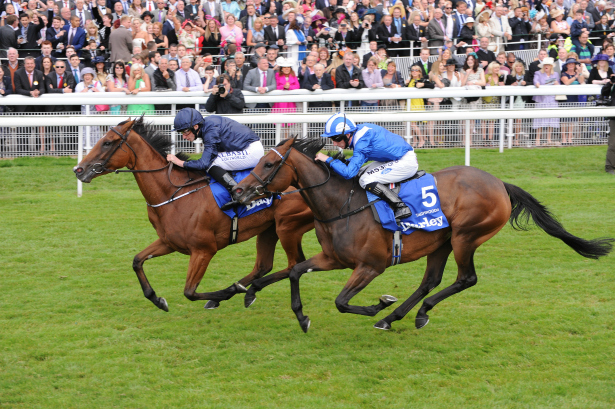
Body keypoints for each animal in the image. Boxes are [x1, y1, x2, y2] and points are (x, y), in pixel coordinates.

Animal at [73, 119, 316, 310]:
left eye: (107, 142)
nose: (78, 170)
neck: (173, 194)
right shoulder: (168, 242)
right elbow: (137, 261)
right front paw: (157, 299)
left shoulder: (203, 250)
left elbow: (189, 291)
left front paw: (222, 294)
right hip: (268, 228)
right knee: (264, 266)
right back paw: (243, 290)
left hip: (287, 226)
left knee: (294, 264)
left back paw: (238, 290)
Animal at [232, 137, 615, 332]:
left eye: (269, 164)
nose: (239, 191)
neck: (341, 205)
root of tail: (499, 184)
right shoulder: (333, 258)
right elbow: (296, 271)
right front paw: (301, 316)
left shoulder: (371, 266)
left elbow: (341, 302)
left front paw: (378, 304)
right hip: (440, 242)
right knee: (430, 281)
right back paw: (396, 317)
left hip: (465, 237)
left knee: (466, 279)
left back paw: (406, 313)